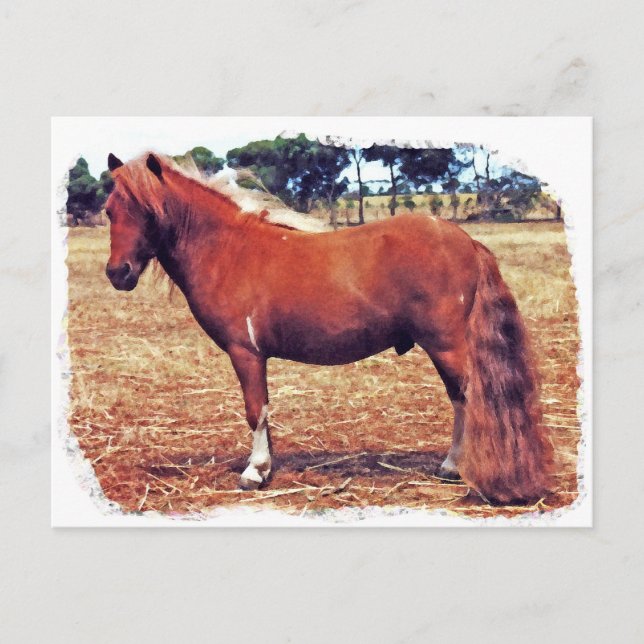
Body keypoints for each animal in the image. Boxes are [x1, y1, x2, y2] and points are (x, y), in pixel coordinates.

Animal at [103, 152, 553, 505]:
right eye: (109, 210)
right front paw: (268, 465)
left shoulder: (245, 353)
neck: (227, 249)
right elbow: (264, 410)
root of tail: (465, 240)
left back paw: (456, 466)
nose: (117, 273)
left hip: (446, 346)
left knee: (467, 399)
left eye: (150, 211)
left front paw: (254, 472)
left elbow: (255, 410)